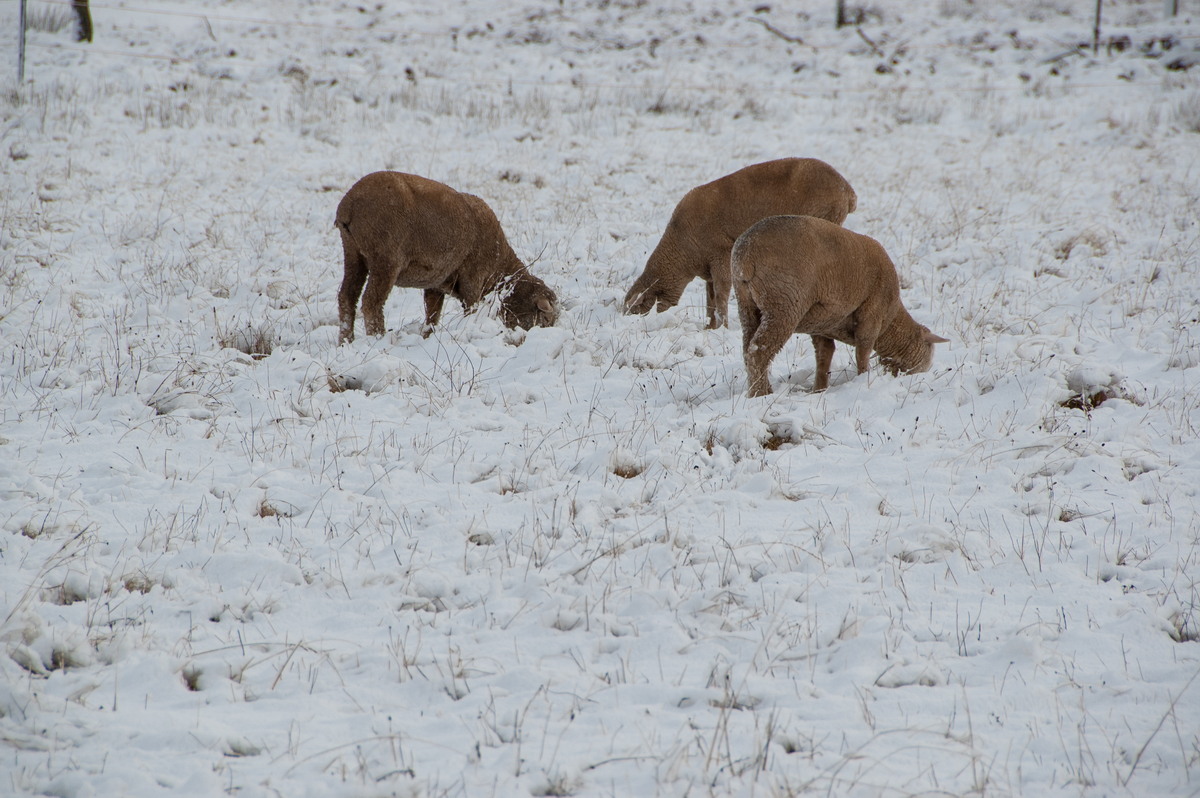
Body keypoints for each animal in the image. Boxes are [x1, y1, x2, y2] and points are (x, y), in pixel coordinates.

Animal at [336, 171, 559, 343]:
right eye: (545, 319)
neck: (500, 266)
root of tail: (350, 205)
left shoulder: (435, 284)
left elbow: (432, 315)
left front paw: (427, 337)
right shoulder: (473, 278)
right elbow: (471, 308)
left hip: (353, 254)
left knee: (347, 297)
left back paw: (346, 341)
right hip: (385, 259)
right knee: (371, 302)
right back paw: (378, 338)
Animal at [624, 158, 859, 326]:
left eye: (635, 310)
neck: (682, 250)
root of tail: (848, 192)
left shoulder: (721, 258)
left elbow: (720, 297)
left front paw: (721, 327)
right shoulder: (709, 269)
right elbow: (710, 299)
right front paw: (709, 327)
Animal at [729, 213, 945, 396]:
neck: (891, 323)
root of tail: (746, 253)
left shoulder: (822, 326)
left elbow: (824, 356)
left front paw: (819, 389)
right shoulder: (872, 314)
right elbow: (863, 351)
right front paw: (863, 380)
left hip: (747, 305)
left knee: (747, 350)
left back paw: (756, 391)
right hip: (784, 303)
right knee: (758, 351)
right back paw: (762, 394)